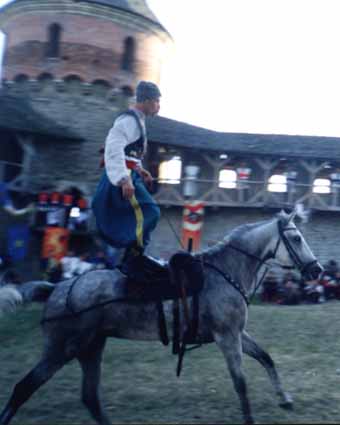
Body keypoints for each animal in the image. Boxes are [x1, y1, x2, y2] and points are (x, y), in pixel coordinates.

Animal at [0, 211, 322, 424]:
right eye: (296, 238)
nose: (317, 270)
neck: (226, 270)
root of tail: (57, 288)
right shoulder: (227, 337)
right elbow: (240, 383)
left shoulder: (237, 334)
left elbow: (266, 358)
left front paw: (285, 399)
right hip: (62, 350)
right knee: (23, 388)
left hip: (91, 348)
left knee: (90, 397)